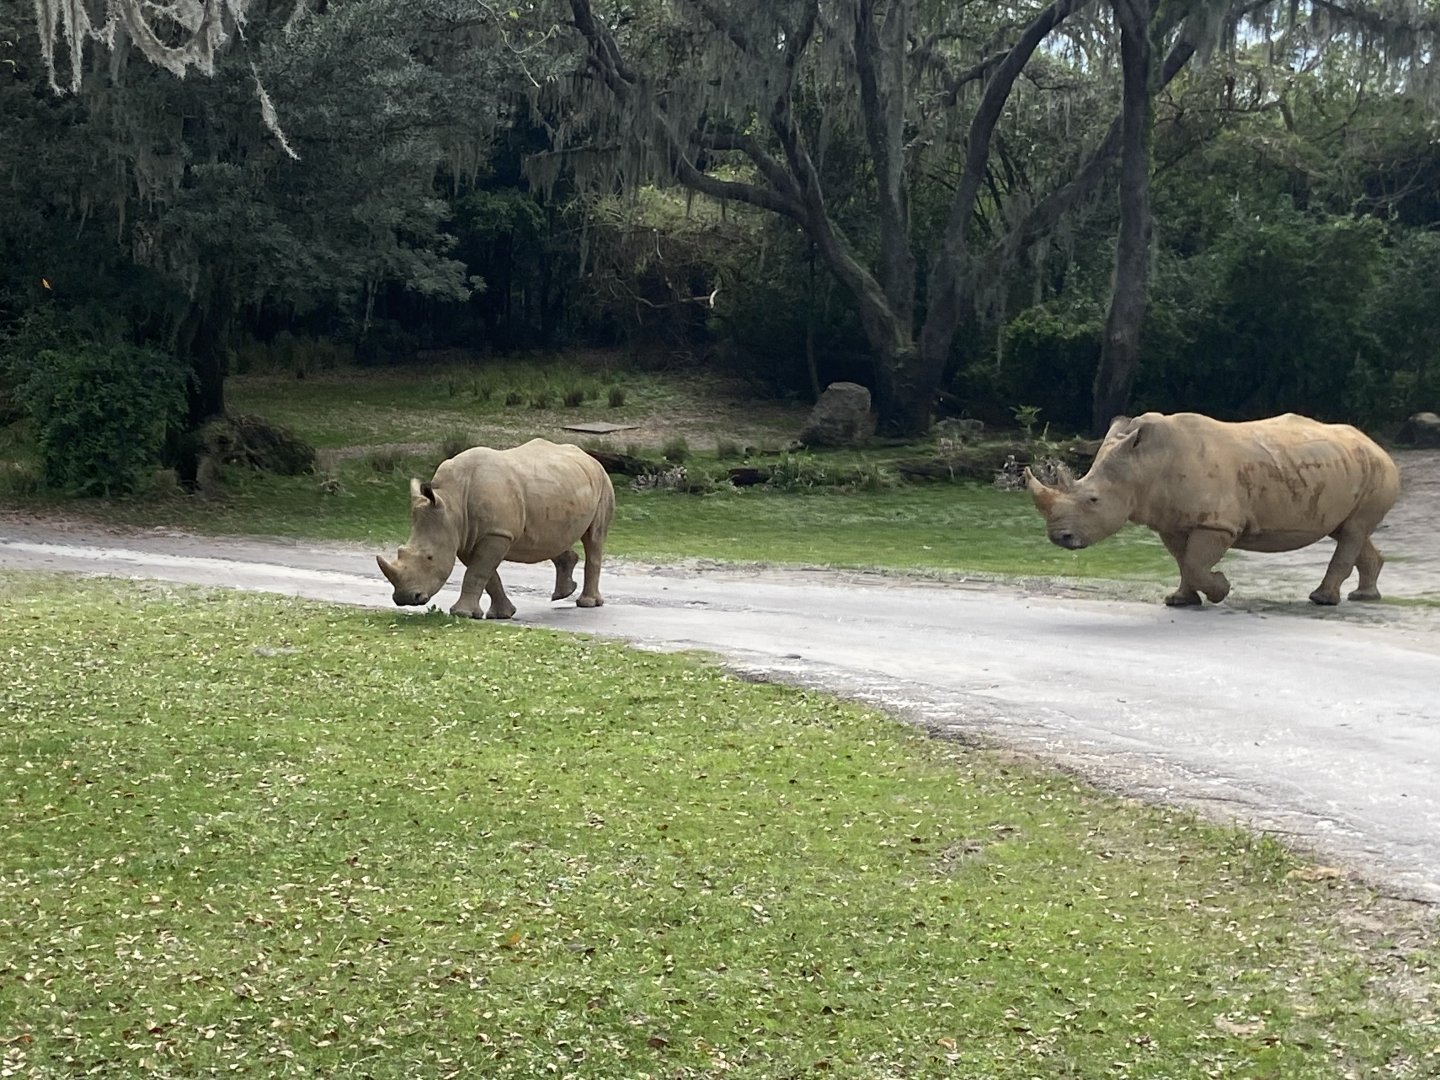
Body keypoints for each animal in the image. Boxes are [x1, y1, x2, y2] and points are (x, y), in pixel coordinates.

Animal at [377, 438, 615, 618]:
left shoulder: (495, 533)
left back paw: (587, 603)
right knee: (552, 537)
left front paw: (462, 614)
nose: (405, 599)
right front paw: (501, 614)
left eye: (429, 557)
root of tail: (589, 457)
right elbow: (488, 575)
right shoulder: (467, 536)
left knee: (594, 538)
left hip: (603, 481)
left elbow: (477, 572)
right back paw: (562, 593)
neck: (451, 503)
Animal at [1025, 412, 1401, 607]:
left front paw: (1221, 590)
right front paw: (1180, 601)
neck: (1144, 465)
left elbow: (1194, 563)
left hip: (1377, 469)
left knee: (1352, 531)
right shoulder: (1172, 521)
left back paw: (1322, 599)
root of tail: (1375, 443)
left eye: (1093, 500)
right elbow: (1184, 562)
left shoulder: (1217, 522)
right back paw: (1365, 596)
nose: (1059, 537)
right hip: (1348, 465)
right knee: (1348, 529)